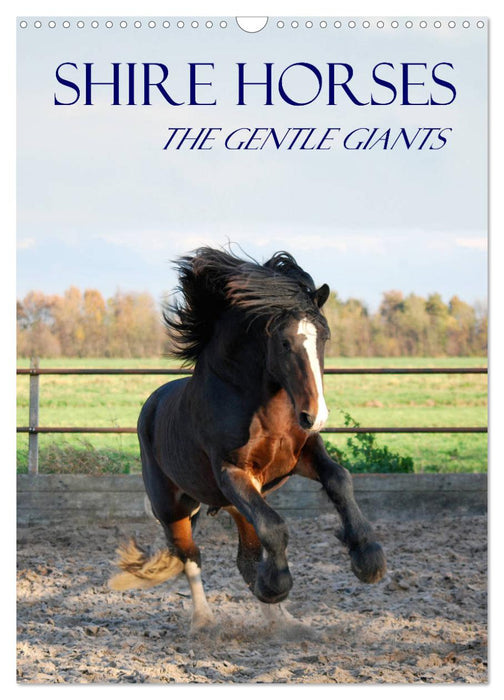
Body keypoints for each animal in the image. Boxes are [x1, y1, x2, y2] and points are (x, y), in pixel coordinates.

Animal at [109, 247, 386, 630]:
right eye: (284, 342)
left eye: (324, 338)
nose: (315, 416)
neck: (265, 408)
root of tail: (151, 406)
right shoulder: (233, 472)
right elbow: (275, 526)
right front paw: (276, 585)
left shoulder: (302, 455)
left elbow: (339, 480)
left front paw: (369, 559)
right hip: (174, 507)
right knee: (190, 556)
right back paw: (205, 621)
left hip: (236, 506)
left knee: (245, 560)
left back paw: (286, 623)